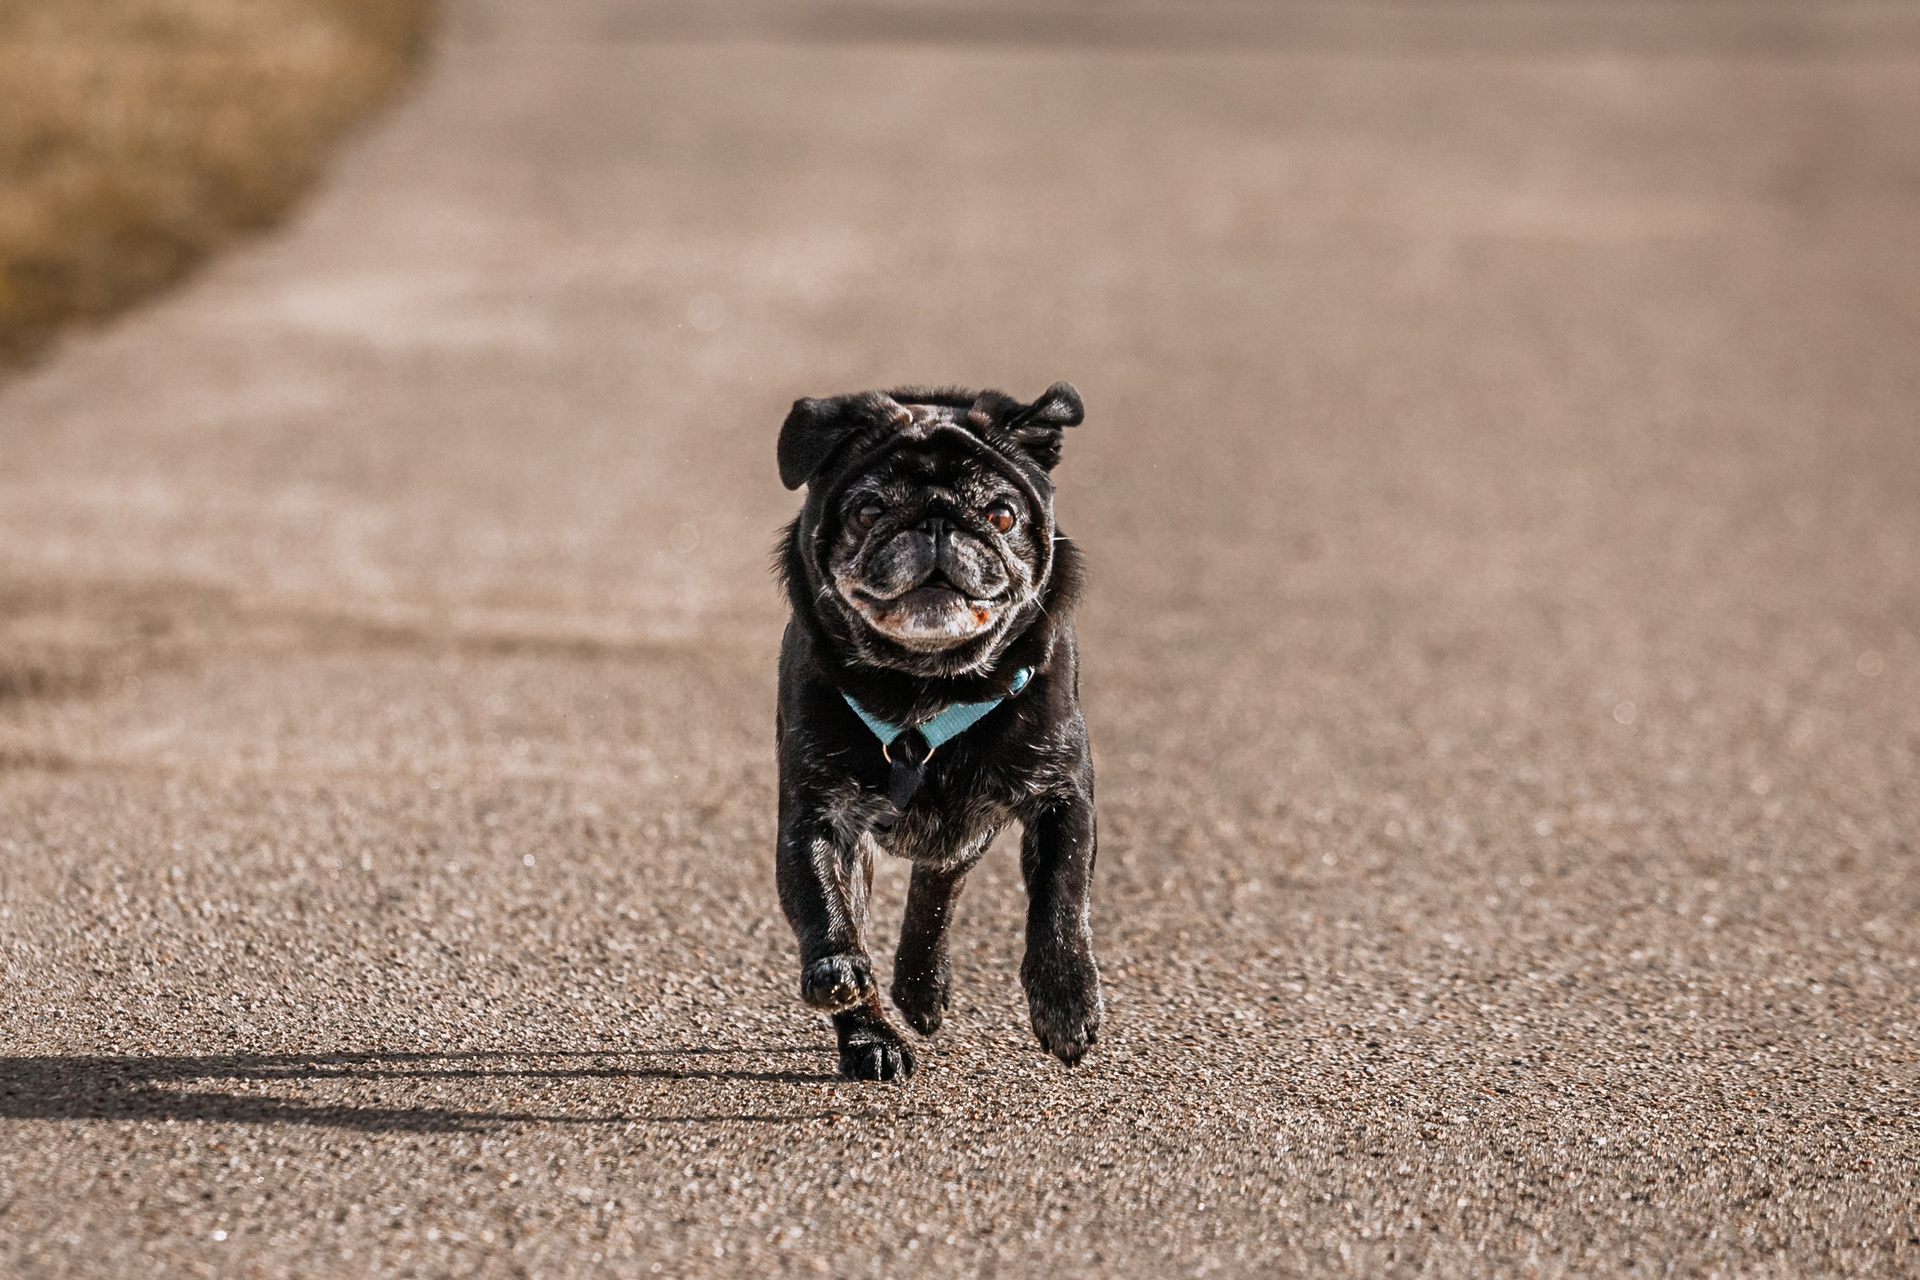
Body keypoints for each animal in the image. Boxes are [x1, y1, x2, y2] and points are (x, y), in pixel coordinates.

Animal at [773, 382, 1102, 1081]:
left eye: (1001, 515)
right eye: (869, 510)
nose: (936, 521)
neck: (927, 684)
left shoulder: (1062, 797)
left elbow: (1060, 901)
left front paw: (1066, 1000)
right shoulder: (817, 816)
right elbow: (827, 909)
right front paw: (854, 1005)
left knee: (938, 885)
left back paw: (923, 987)